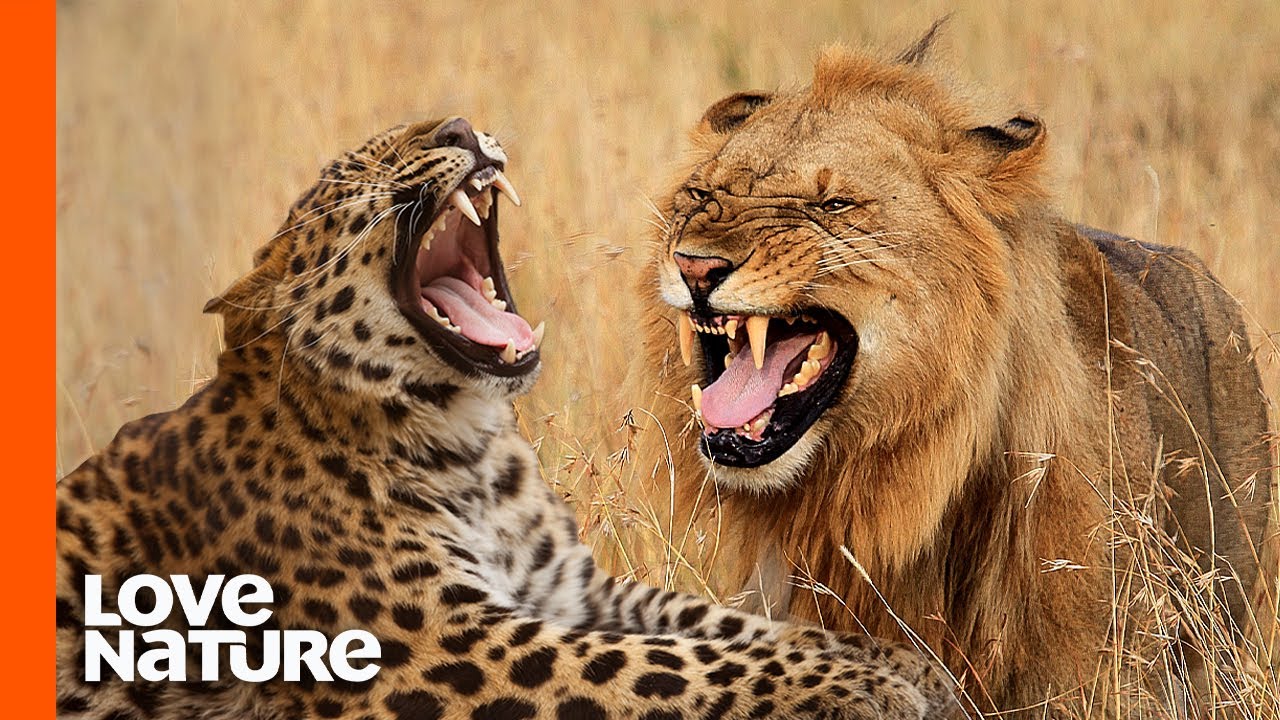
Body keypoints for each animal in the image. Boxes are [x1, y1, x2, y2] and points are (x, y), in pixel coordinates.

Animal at [55, 118, 960, 719]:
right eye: (360, 168)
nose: (459, 124)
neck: (469, 444)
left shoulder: (572, 589)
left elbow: (718, 622)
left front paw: (896, 663)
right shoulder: (445, 641)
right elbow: (667, 663)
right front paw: (861, 686)